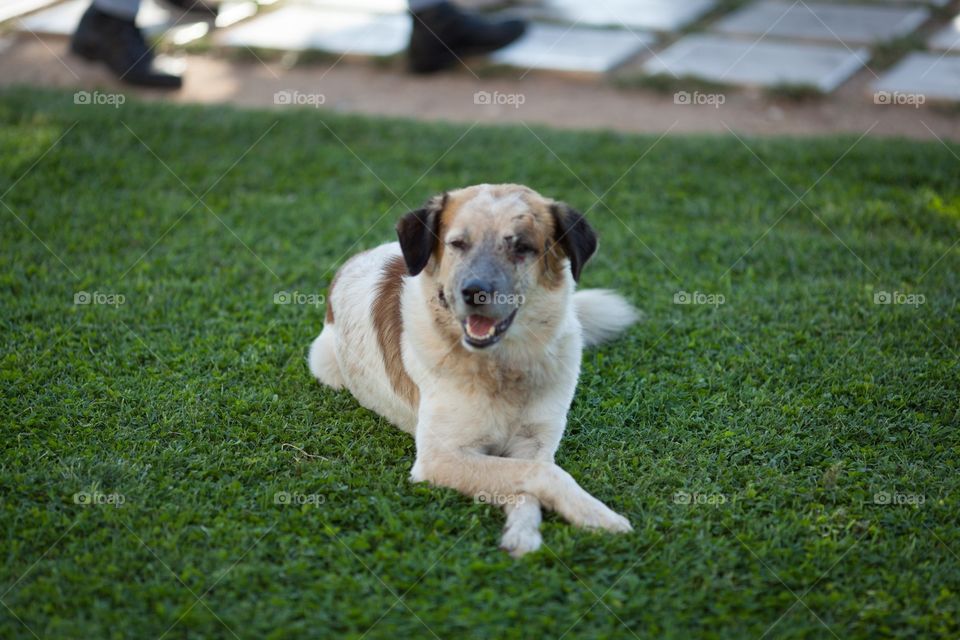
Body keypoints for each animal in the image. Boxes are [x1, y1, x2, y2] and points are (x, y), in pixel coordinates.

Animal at [310, 184, 636, 556]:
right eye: (457, 244)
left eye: (521, 247)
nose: (474, 292)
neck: (502, 367)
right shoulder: (439, 457)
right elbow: (542, 476)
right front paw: (598, 515)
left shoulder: (535, 444)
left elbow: (529, 479)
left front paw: (524, 532)